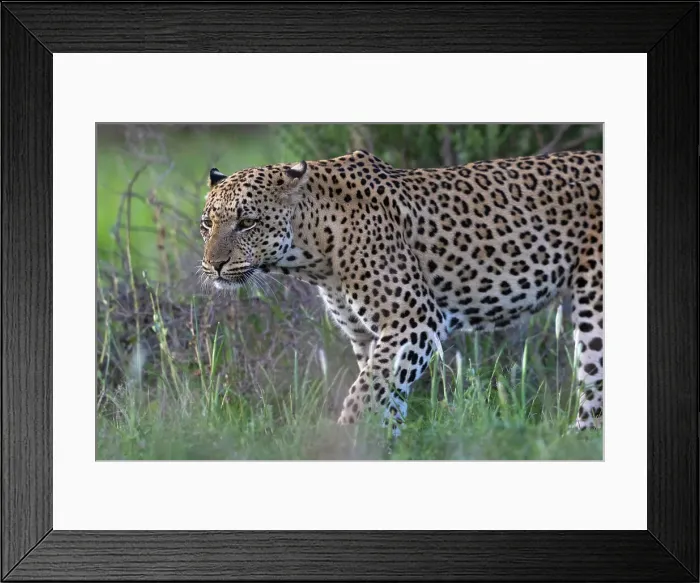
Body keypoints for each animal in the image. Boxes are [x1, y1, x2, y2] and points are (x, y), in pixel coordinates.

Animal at [199, 149, 603, 434]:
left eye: (247, 222)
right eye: (207, 224)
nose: (213, 264)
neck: (314, 249)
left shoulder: (414, 320)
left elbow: (364, 393)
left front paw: (346, 439)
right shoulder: (368, 336)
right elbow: (385, 397)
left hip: (595, 305)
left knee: (594, 384)